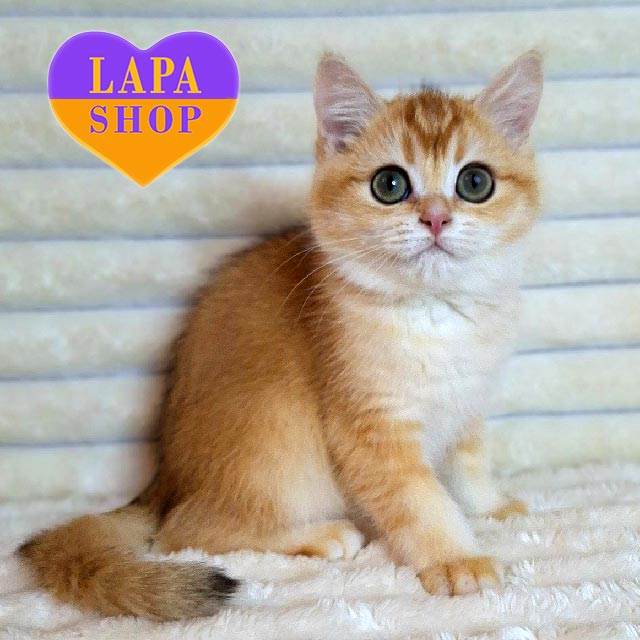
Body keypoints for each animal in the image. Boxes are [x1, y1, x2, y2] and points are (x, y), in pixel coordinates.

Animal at [19, 49, 543, 620]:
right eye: (390, 185)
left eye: (475, 183)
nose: (436, 219)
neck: (434, 313)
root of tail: (163, 481)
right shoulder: (369, 425)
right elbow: (420, 499)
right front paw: (455, 559)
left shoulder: (466, 406)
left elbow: (468, 468)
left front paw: (490, 507)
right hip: (275, 433)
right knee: (183, 532)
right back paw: (319, 535)